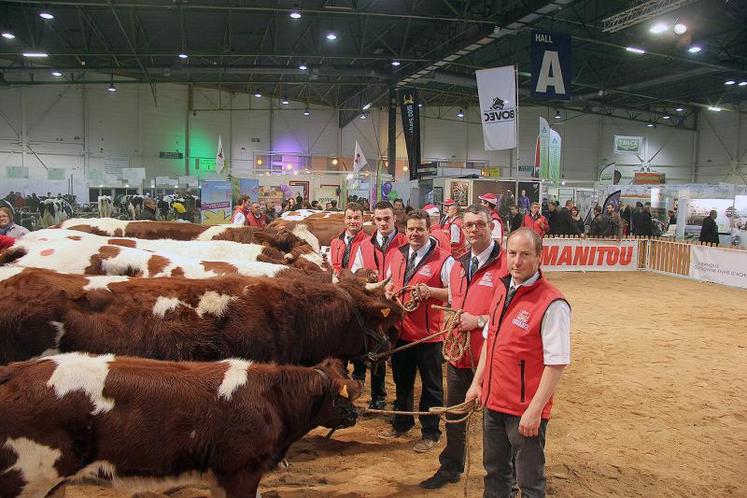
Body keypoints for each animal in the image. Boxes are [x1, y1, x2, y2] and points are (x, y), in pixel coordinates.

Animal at [0, 354, 362, 498]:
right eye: (340, 393)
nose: (354, 415)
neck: (269, 396)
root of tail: (19, 370)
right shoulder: (241, 470)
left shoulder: (222, 475)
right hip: (28, 475)